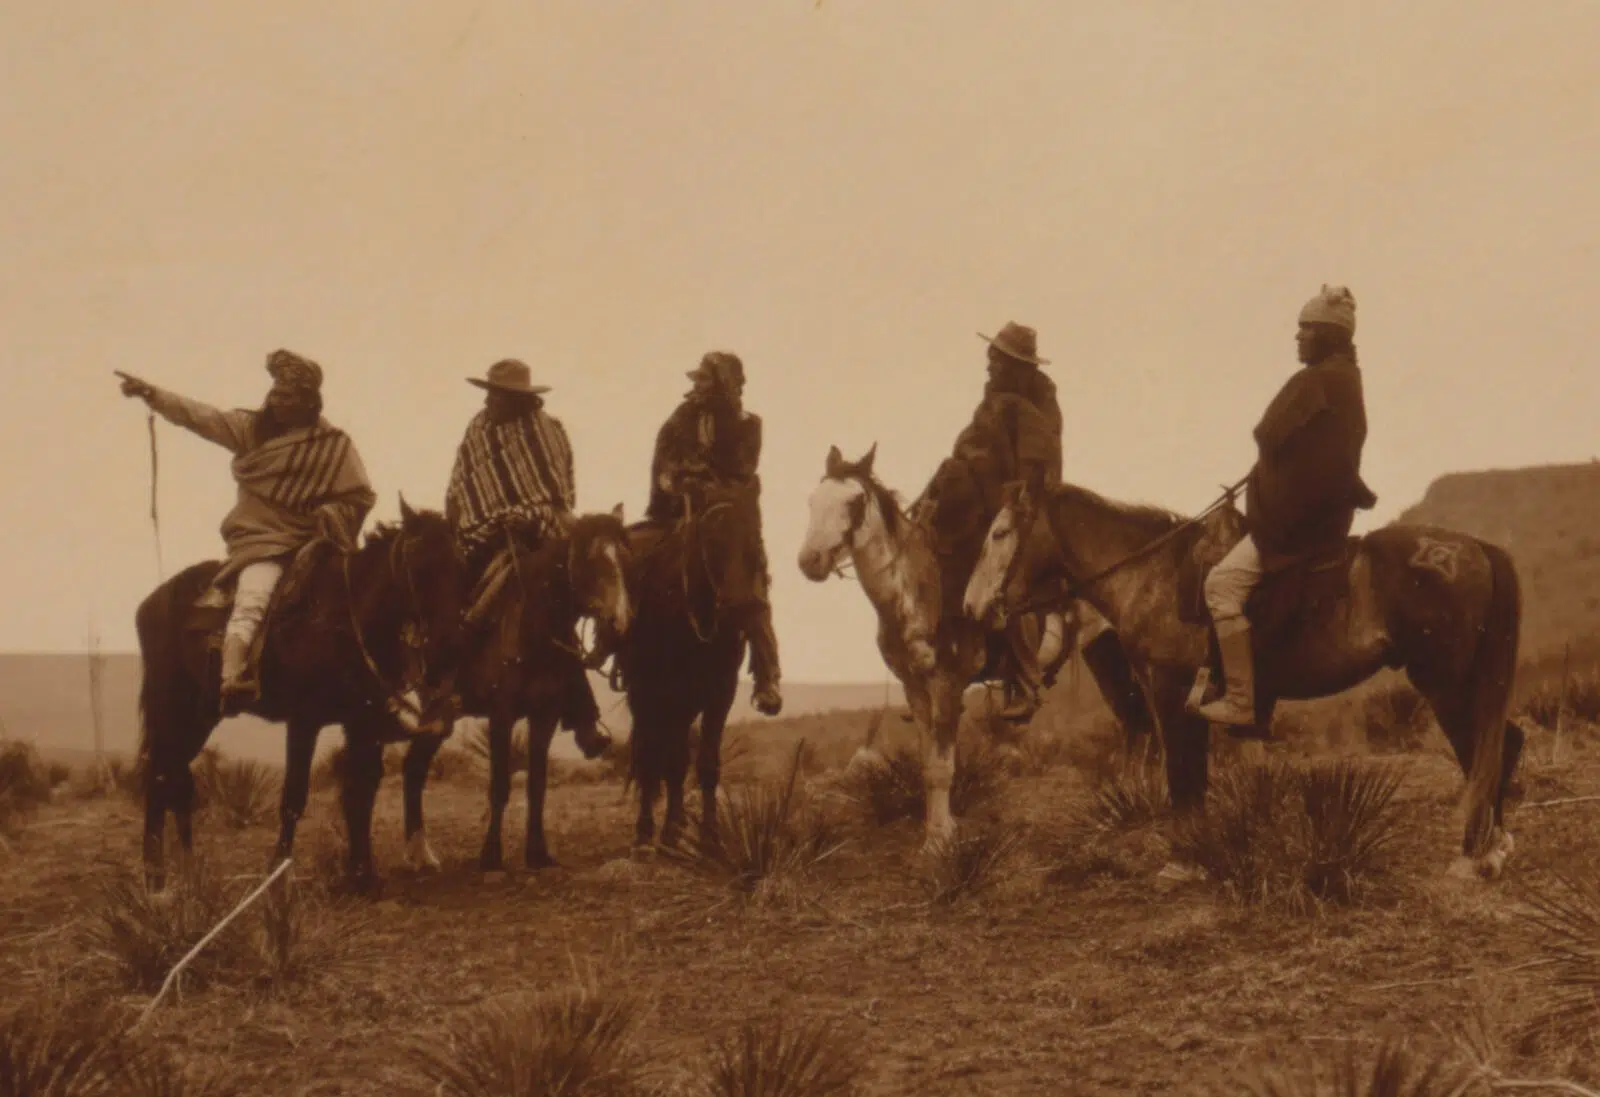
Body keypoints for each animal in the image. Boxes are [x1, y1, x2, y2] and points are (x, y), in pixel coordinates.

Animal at [136, 498, 467, 895]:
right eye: (418, 564)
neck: (343, 615)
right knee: (160, 775)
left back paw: (170, 876)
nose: (449, 646)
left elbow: (361, 792)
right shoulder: (304, 721)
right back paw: (156, 879)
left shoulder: (363, 725)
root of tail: (151, 602)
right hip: (170, 707)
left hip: (199, 716)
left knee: (167, 774)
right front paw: (280, 875)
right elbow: (295, 797)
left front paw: (362, 875)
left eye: (459, 563)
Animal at [390, 508, 633, 876]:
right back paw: (418, 853)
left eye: (625, 557)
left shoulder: (545, 716)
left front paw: (538, 854)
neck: (534, 627)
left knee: (415, 766)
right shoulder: (501, 715)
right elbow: (500, 785)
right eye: (590, 559)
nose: (621, 623)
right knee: (414, 767)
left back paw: (421, 854)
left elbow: (537, 784)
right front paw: (491, 856)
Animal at [611, 479, 761, 850]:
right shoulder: (659, 691)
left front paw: (709, 836)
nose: (737, 607)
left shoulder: (719, 693)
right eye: (711, 538)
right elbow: (664, 759)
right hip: (650, 697)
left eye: (754, 535)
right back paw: (650, 829)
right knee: (651, 753)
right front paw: (658, 832)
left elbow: (705, 763)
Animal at [793, 441, 1158, 857]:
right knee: (1134, 722)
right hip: (1103, 654)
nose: (810, 561)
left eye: (854, 502)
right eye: (812, 500)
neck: (920, 592)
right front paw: (941, 830)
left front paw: (937, 841)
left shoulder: (947, 685)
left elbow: (942, 768)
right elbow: (928, 764)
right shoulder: (915, 688)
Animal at [960, 479, 1523, 882]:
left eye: (999, 534)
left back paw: (1476, 854)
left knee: (1480, 750)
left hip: (1444, 682)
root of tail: (1476, 548)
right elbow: (1194, 777)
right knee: (1503, 743)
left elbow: (1183, 779)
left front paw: (1184, 860)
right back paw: (1493, 848)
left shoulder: (1169, 691)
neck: (1152, 575)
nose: (971, 606)